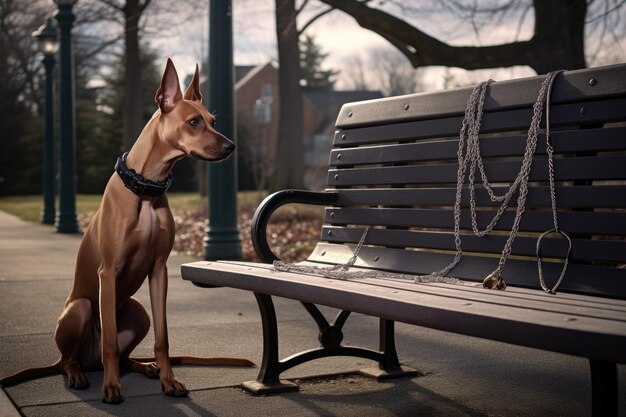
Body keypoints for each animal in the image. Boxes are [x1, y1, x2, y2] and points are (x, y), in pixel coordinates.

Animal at [3, 59, 251, 404]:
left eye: (213, 121)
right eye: (193, 122)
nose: (231, 146)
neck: (146, 188)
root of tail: (89, 361)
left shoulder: (159, 271)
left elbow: (163, 338)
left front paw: (168, 380)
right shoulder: (107, 272)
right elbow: (109, 342)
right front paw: (111, 388)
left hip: (138, 311)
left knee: (122, 357)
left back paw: (144, 367)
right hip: (79, 309)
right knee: (72, 359)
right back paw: (79, 374)